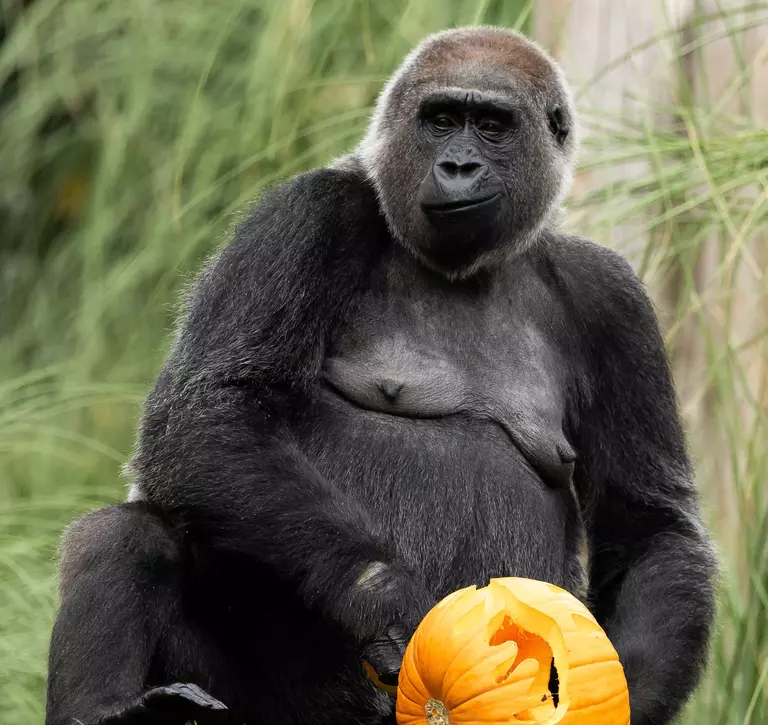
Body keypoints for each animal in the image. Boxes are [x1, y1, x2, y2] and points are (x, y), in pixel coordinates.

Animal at [45, 26, 716, 725]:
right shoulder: (307, 214)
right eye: (441, 120)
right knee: (126, 532)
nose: (458, 167)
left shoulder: (613, 298)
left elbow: (648, 526)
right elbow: (210, 411)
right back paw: (109, 709)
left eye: (492, 126)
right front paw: (389, 602)